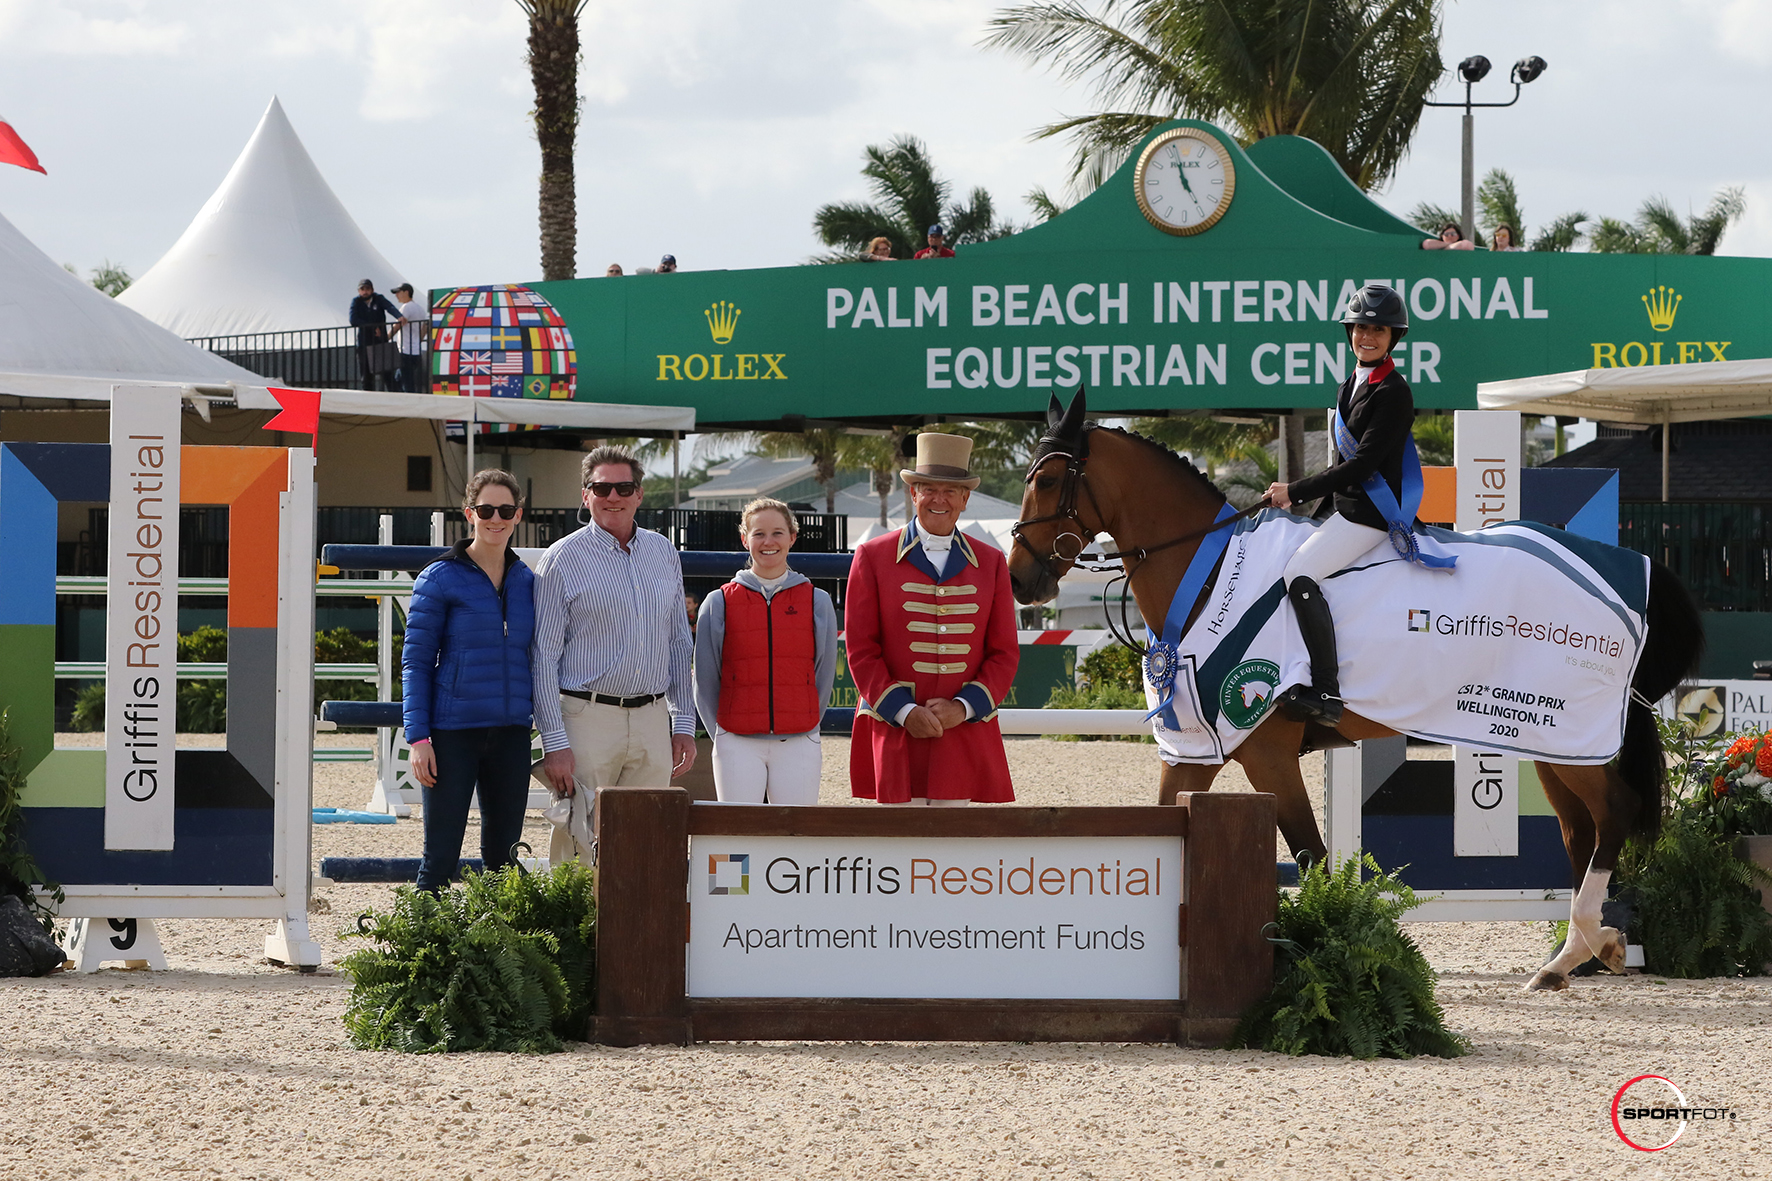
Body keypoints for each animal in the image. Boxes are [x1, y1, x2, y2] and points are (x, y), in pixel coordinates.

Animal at [1013, 388, 1701, 985]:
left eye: (1046, 481)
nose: (1022, 581)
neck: (1206, 575)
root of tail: (1634, 569)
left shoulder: (1266, 753)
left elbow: (1313, 860)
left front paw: (1337, 950)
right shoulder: (1195, 751)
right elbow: (1161, 831)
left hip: (1571, 735)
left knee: (1614, 812)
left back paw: (1594, 944)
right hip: (1550, 740)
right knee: (1581, 830)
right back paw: (1570, 957)